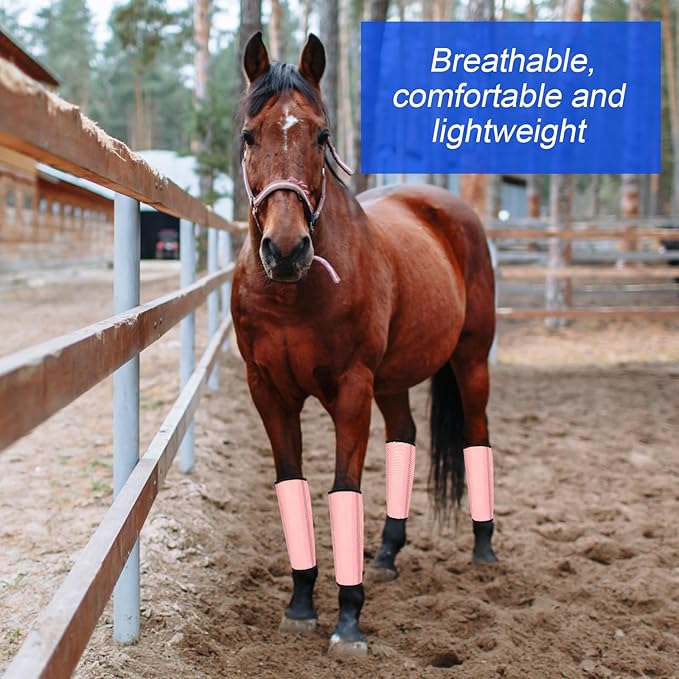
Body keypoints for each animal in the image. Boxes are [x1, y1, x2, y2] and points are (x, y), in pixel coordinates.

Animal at [231, 32, 497, 656]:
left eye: (321, 135)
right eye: (249, 135)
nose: (285, 250)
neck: (292, 293)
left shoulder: (351, 391)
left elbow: (343, 489)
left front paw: (348, 619)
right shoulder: (269, 392)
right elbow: (293, 485)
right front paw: (301, 604)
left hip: (471, 360)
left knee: (476, 434)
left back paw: (483, 547)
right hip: (393, 381)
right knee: (405, 435)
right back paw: (387, 553)